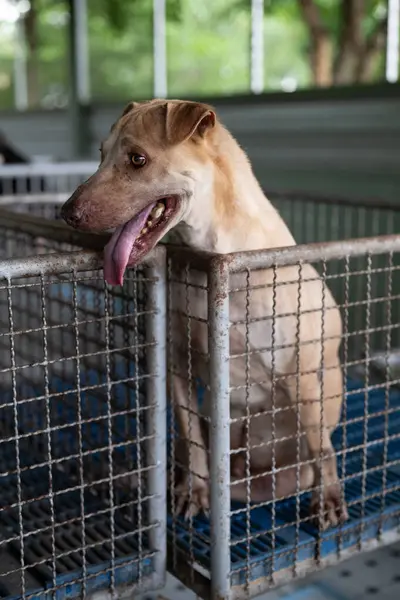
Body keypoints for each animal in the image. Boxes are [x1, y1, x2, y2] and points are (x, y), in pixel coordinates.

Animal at [61, 99, 346, 528]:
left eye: (137, 159)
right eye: (100, 154)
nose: (66, 212)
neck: (212, 255)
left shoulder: (302, 374)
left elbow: (321, 447)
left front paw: (328, 498)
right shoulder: (178, 363)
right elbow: (191, 436)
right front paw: (194, 491)